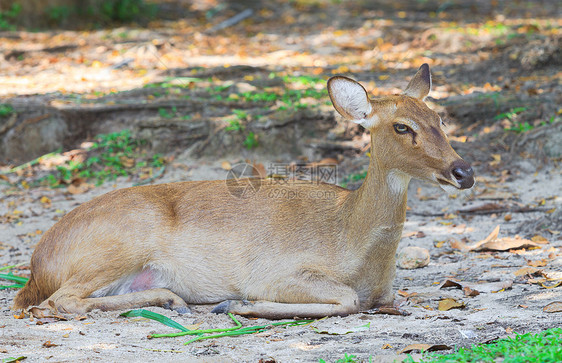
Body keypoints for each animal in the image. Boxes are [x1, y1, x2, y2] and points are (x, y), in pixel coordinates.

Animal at [13, 64, 472, 318]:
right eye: (402, 126)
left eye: (441, 119)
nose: (463, 171)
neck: (354, 243)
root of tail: (38, 264)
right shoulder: (276, 270)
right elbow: (345, 299)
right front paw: (236, 304)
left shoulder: (389, 293)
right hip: (118, 242)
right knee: (57, 301)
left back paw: (172, 300)